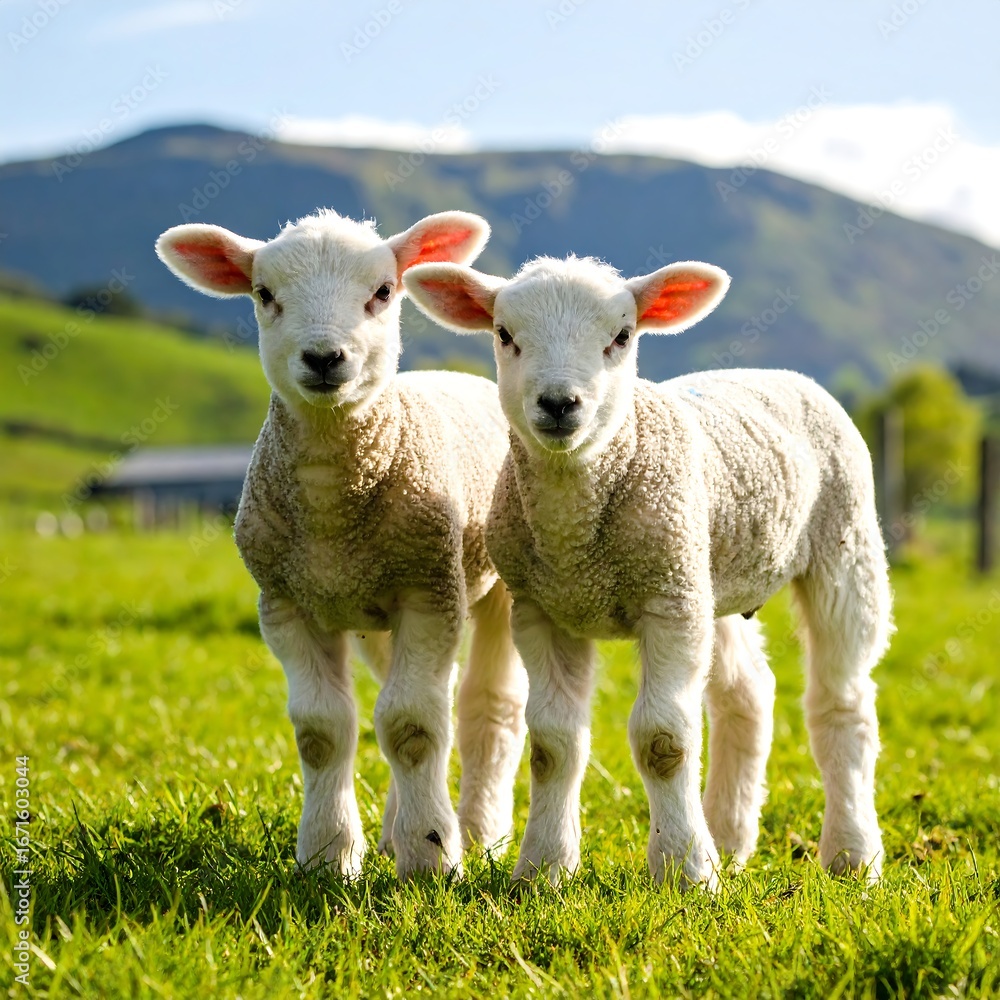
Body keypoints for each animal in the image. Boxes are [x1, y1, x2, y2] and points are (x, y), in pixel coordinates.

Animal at [155, 209, 528, 880]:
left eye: (382, 291)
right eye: (264, 294)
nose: (325, 357)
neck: (333, 503)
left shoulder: (429, 591)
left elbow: (411, 726)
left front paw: (432, 856)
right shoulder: (286, 602)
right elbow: (324, 731)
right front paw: (329, 856)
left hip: (492, 587)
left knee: (486, 706)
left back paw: (479, 831)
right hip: (376, 611)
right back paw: (393, 832)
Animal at [403, 254, 893, 890]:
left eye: (622, 336)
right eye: (505, 334)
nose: (559, 404)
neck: (576, 536)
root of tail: (783, 373)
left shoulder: (668, 605)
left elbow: (664, 739)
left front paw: (685, 869)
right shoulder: (545, 609)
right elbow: (553, 743)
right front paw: (543, 869)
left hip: (843, 547)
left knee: (843, 704)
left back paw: (852, 855)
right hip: (706, 570)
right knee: (749, 693)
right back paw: (729, 838)